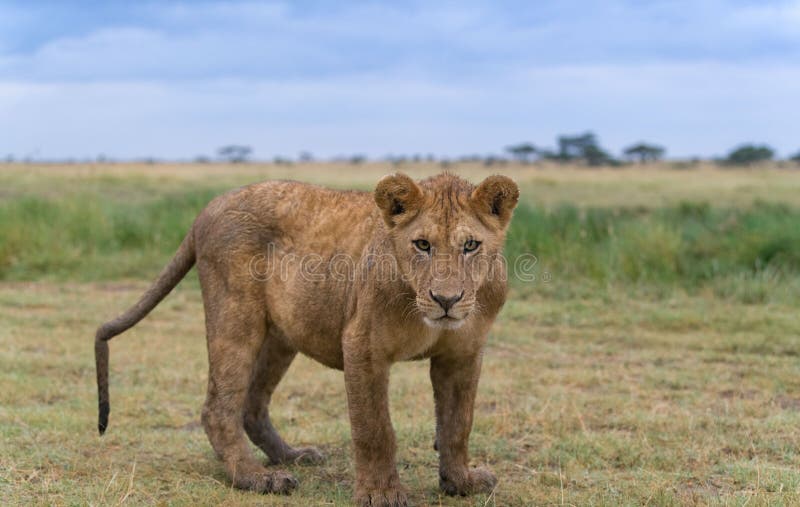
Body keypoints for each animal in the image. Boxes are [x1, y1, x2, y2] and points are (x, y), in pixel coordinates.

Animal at [94, 172, 519, 506]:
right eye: (422, 244)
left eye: (470, 245)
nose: (446, 300)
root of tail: (208, 208)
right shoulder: (362, 346)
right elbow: (375, 428)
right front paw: (380, 493)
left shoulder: (463, 353)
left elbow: (458, 422)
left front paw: (461, 482)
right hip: (235, 315)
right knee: (218, 407)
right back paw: (255, 477)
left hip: (281, 337)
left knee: (251, 403)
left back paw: (290, 456)